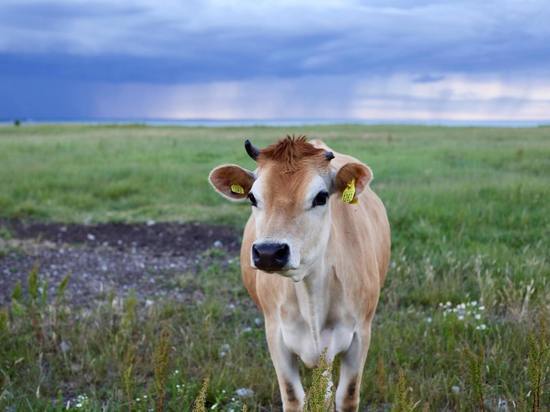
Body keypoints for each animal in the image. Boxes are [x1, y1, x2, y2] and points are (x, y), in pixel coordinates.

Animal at [208, 137, 392, 410]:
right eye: (252, 197)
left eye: (321, 197)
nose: (269, 252)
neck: (310, 291)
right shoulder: (276, 334)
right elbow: (294, 396)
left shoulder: (360, 334)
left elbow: (347, 396)